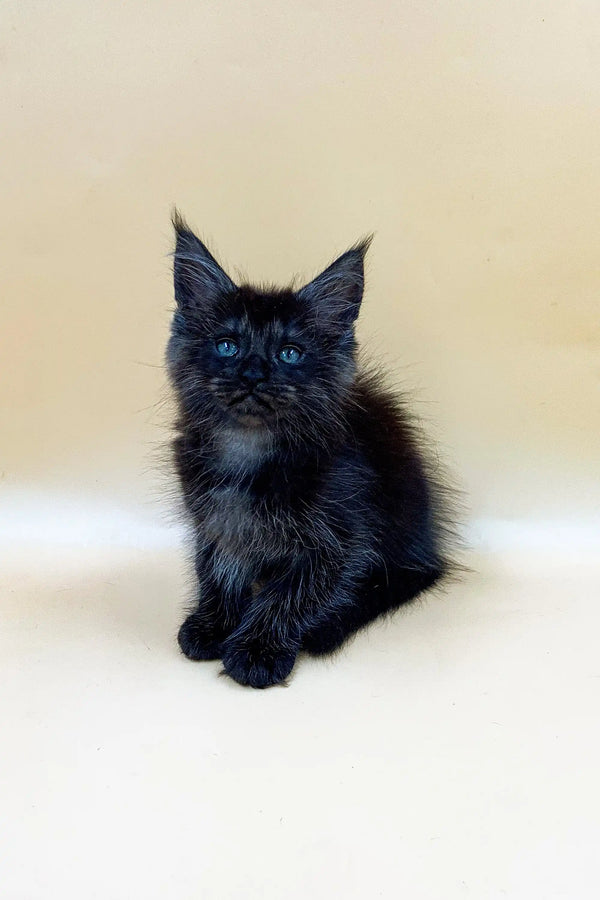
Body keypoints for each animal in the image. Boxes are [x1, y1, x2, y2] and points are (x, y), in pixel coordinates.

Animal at [166, 213, 448, 688]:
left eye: (290, 353)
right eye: (227, 345)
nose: (253, 374)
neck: (250, 450)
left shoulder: (340, 537)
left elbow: (289, 594)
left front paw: (257, 650)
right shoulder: (217, 519)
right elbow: (219, 569)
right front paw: (215, 624)